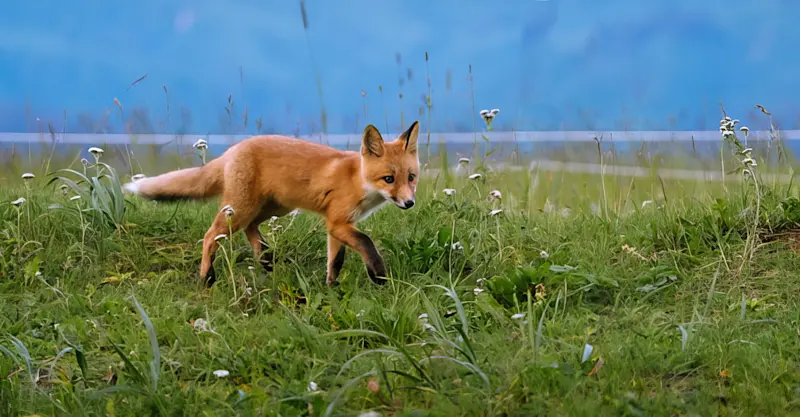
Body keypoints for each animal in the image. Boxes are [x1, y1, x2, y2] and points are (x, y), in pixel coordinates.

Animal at [122, 121, 421, 287]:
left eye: (411, 177)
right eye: (388, 179)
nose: (409, 203)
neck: (358, 180)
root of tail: (233, 149)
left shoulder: (338, 225)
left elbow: (335, 261)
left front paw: (331, 287)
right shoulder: (337, 222)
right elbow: (367, 243)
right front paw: (379, 275)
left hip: (273, 208)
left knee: (251, 229)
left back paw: (265, 261)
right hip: (241, 210)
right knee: (210, 235)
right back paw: (207, 278)